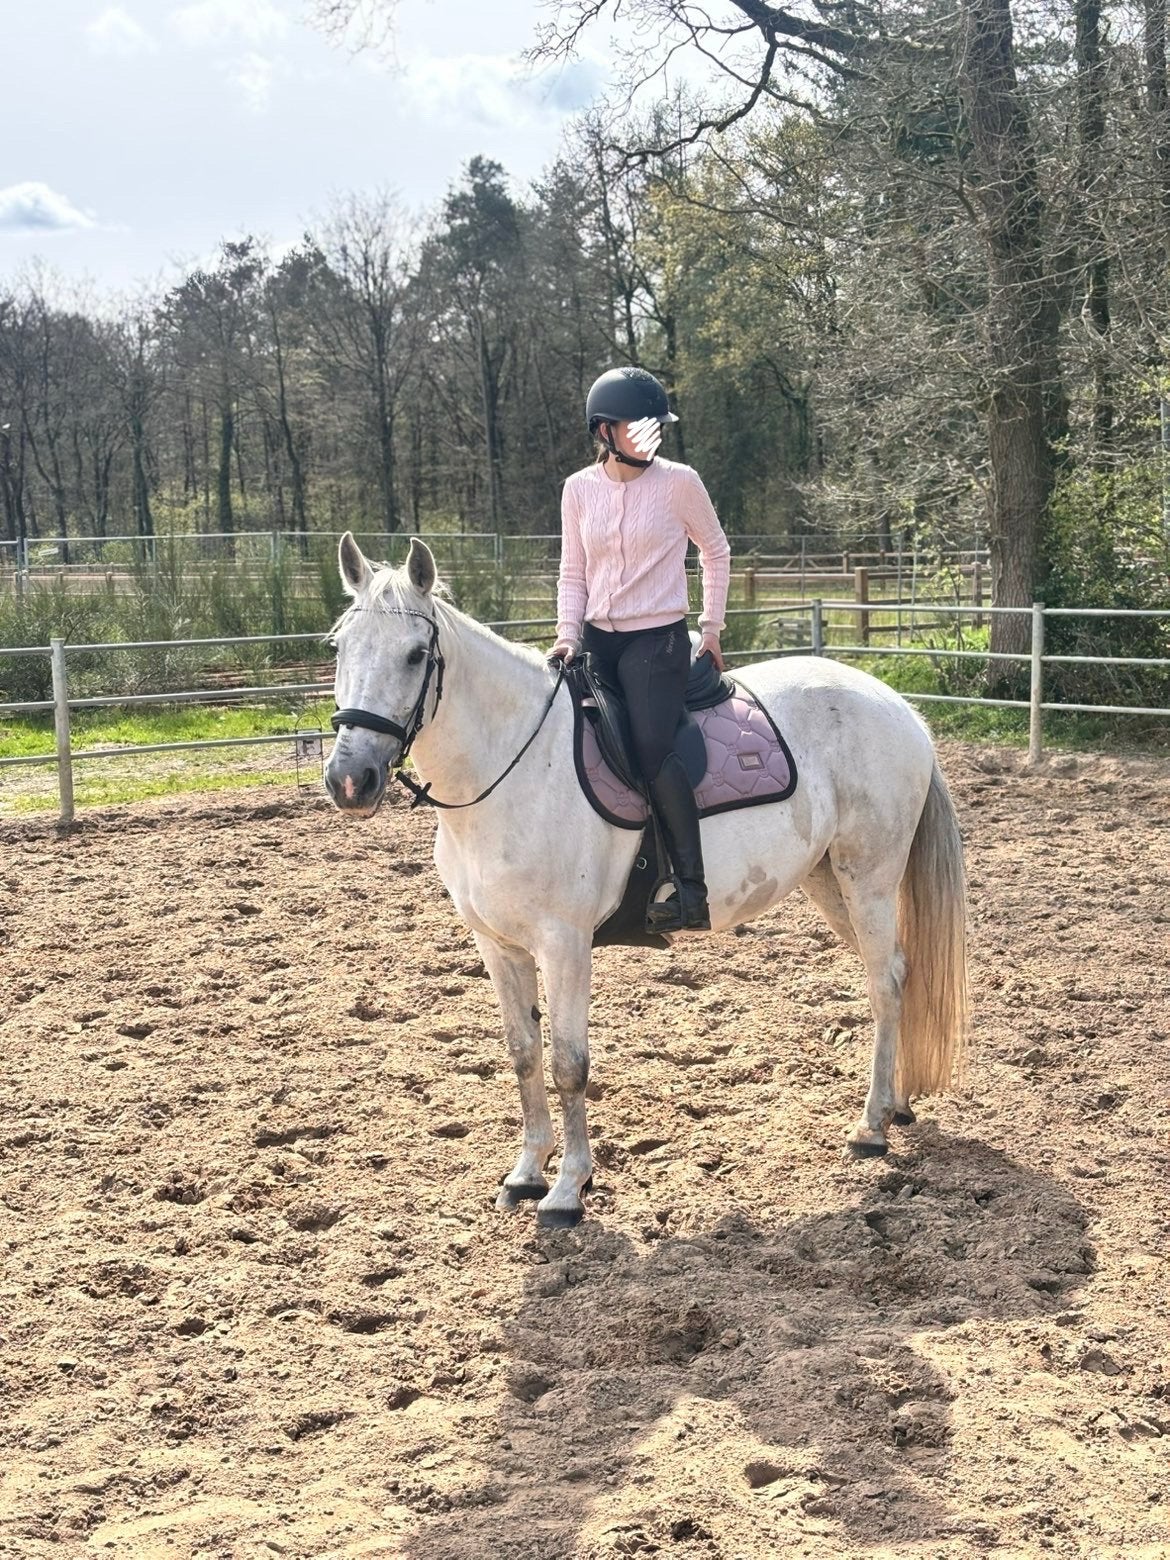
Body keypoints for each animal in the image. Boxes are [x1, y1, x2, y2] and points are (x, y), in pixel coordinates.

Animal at [324, 534, 969, 1229]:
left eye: (416, 655)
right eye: (339, 646)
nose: (350, 780)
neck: (512, 769)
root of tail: (895, 705)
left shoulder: (565, 944)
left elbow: (569, 1064)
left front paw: (567, 1189)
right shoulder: (497, 946)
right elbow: (523, 1053)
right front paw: (527, 1172)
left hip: (867, 878)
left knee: (884, 984)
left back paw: (871, 1126)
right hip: (828, 882)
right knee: (896, 972)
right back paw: (896, 1104)